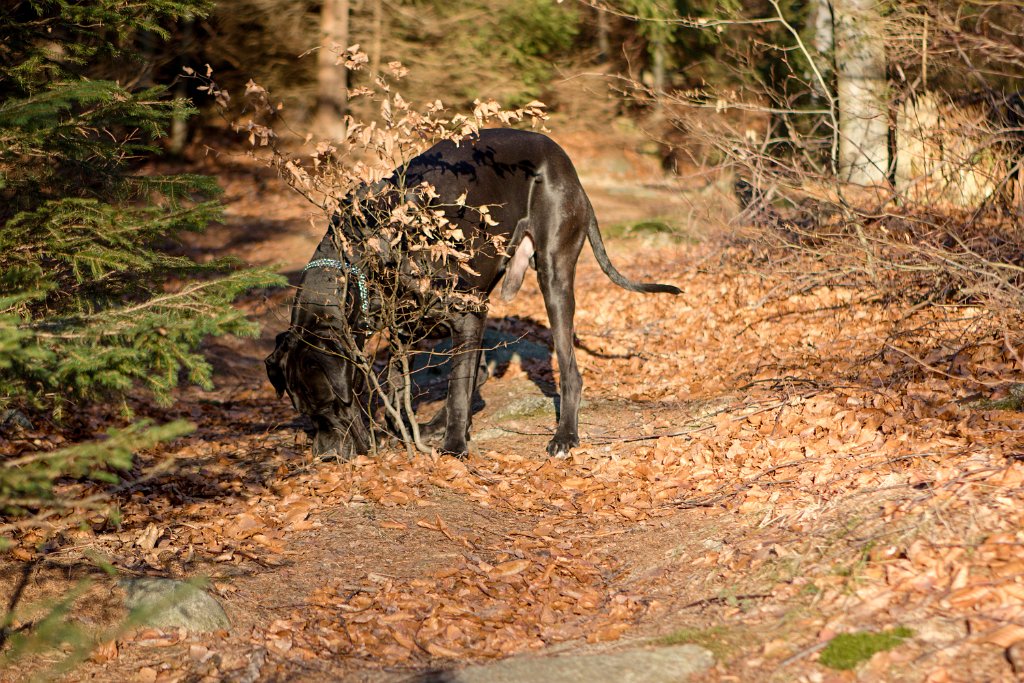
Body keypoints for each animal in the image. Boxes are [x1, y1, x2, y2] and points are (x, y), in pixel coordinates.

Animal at [266, 127, 679, 458]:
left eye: (332, 403)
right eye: (305, 411)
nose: (327, 457)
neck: (364, 251)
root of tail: (569, 168)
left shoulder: (466, 313)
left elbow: (457, 384)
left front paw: (454, 447)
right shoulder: (403, 328)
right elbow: (398, 385)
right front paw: (406, 429)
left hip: (553, 274)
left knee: (566, 368)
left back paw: (564, 436)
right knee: (478, 369)